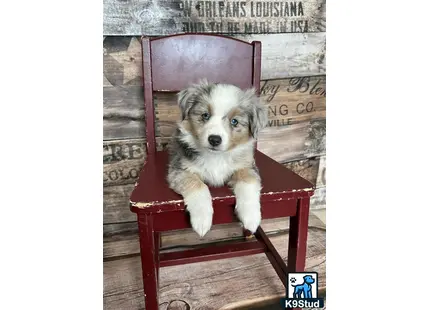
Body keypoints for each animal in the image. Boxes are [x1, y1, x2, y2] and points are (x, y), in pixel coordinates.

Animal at [166, 80, 268, 237]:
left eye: (234, 121)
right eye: (205, 115)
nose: (214, 139)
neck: (216, 157)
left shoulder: (247, 166)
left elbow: (248, 183)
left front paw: (251, 217)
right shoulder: (179, 169)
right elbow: (198, 186)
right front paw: (202, 220)